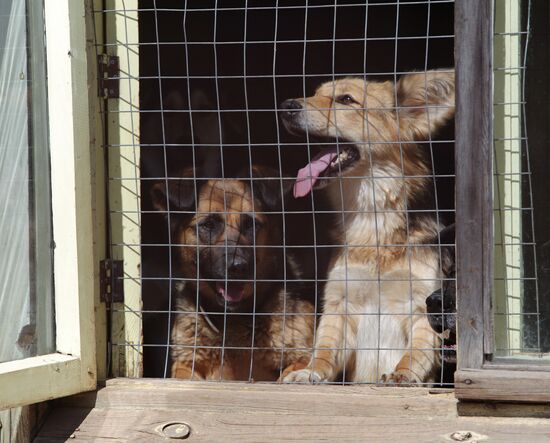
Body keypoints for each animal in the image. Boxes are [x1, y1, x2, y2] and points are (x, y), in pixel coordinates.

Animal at [151, 166, 314, 382]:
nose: (237, 267)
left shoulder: (304, 355)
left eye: (251, 225)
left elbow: (294, 369)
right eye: (208, 225)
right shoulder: (185, 364)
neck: (235, 317)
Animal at [280, 70, 458, 386]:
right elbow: (324, 350)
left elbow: (417, 352)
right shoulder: (339, 305)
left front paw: (403, 374)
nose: (287, 106)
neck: (373, 225)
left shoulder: (421, 305)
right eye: (315, 94)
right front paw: (310, 371)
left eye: (346, 99)